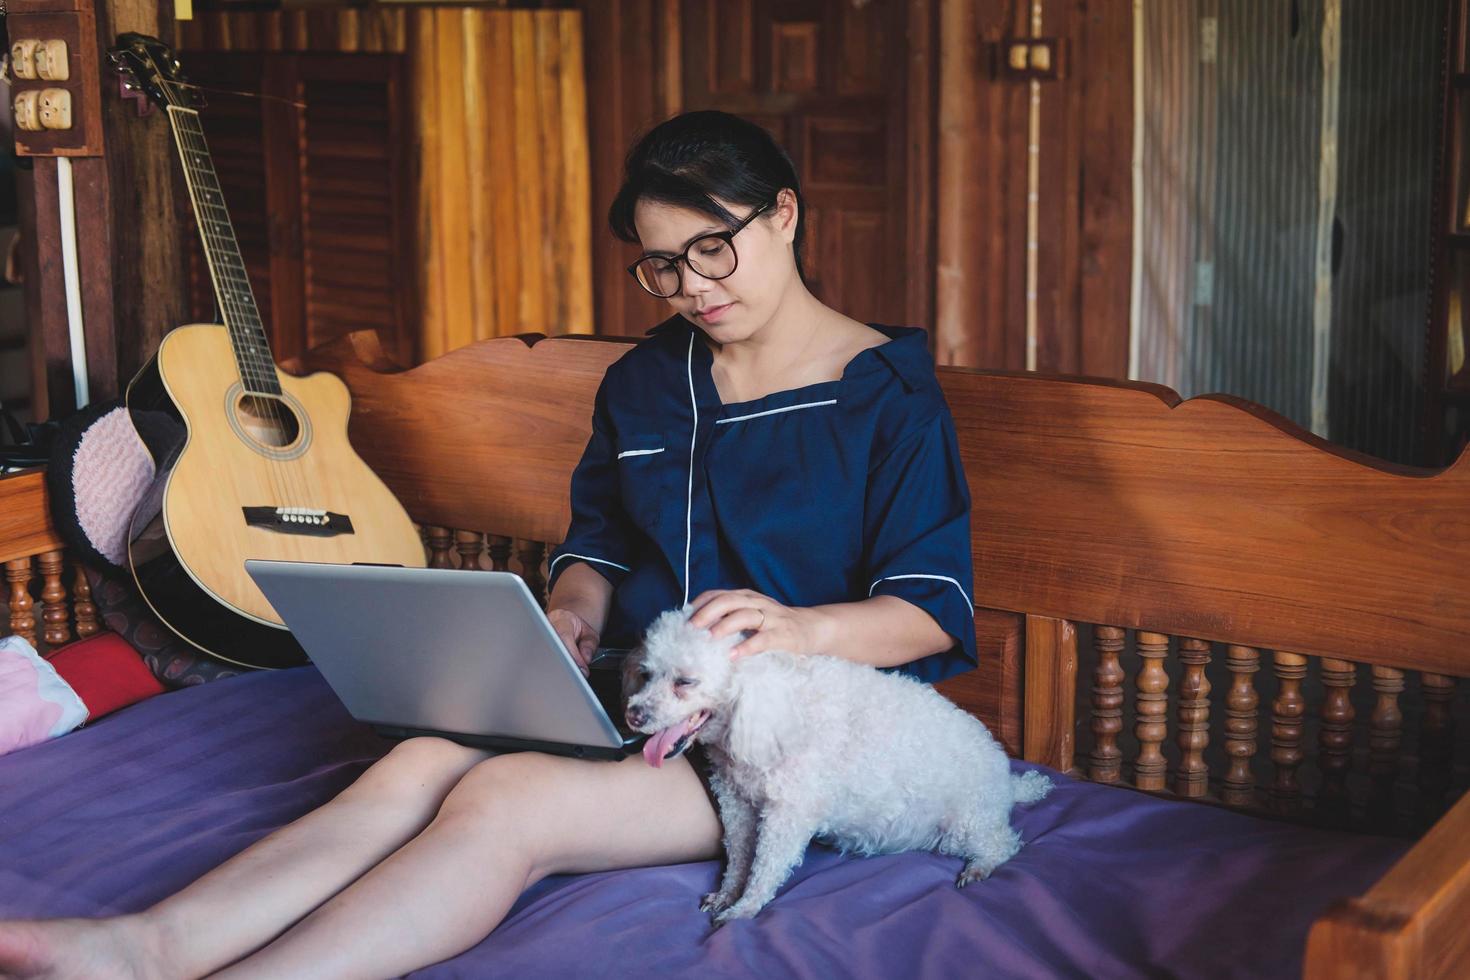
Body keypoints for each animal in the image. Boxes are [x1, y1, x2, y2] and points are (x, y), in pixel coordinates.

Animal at [623, 605, 1058, 928]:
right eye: (646, 674)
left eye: (685, 682)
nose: (633, 714)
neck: (769, 704)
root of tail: (1007, 780)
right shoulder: (737, 801)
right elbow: (740, 855)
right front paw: (729, 894)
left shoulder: (788, 813)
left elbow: (765, 865)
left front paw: (744, 908)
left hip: (964, 824)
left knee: (1005, 844)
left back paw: (981, 867)